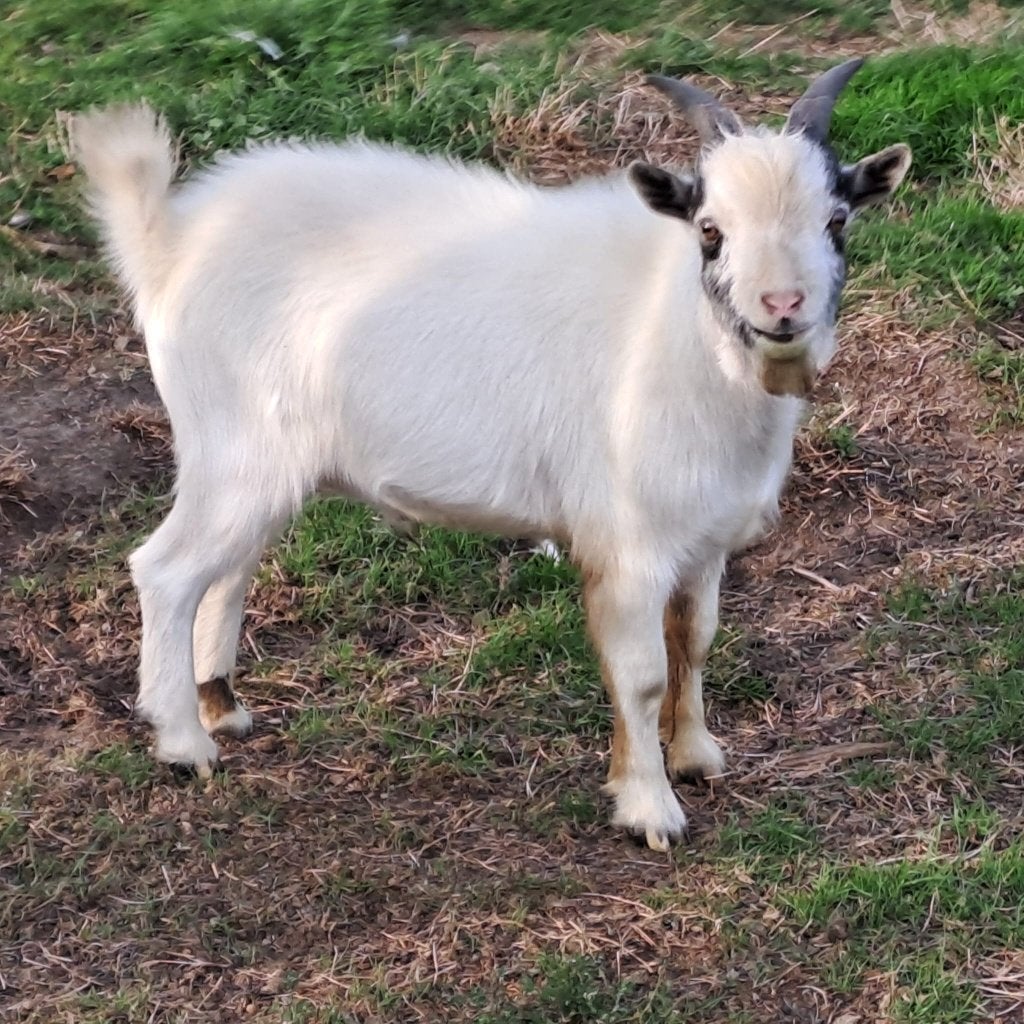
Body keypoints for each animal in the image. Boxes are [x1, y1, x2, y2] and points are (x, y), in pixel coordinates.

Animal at [71, 59, 911, 850]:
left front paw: (697, 755)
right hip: (234, 446)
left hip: (262, 467)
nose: (782, 307)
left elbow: (695, 640)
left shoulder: (704, 538)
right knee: (168, 570)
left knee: (228, 568)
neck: (674, 328)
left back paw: (221, 704)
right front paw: (649, 806)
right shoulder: (628, 541)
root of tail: (169, 240)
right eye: (709, 230)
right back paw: (184, 743)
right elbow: (641, 675)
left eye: (837, 220)